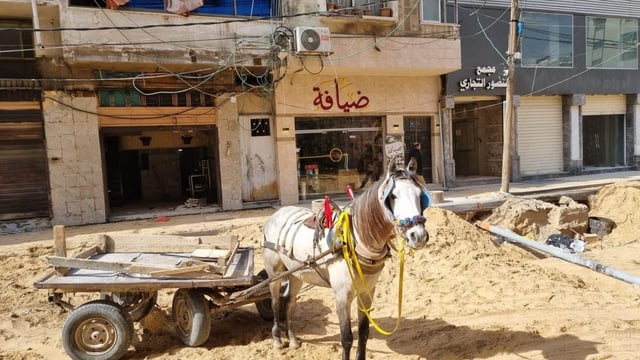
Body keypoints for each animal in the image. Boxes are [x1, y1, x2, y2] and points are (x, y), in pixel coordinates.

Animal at [262, 162, 432, 358]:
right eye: (393, 196)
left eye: (420, 195)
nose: (418, 236)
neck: (357, 242)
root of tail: (278, 212)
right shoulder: (342, 296)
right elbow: (347, 338)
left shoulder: (367, 292)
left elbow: (364, 332)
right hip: (274, 273)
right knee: (275, 302)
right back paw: (277, 338)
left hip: (297, 274)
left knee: (289, 301)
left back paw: (293, 339)